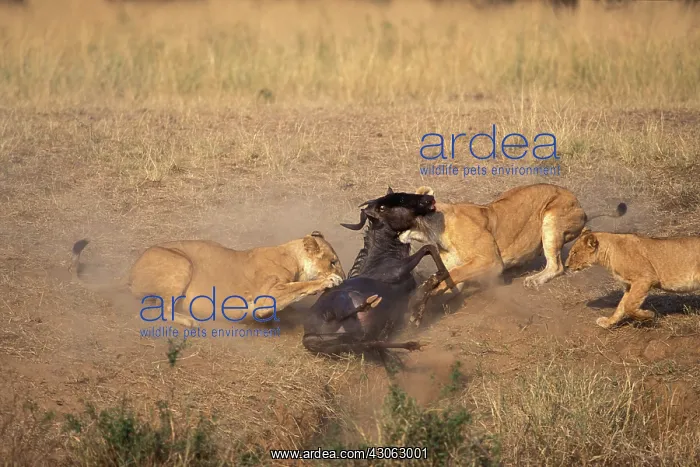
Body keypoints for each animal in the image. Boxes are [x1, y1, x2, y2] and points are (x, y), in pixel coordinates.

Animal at [70, 231, 346, 327]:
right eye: (333, 261)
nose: (345, 275)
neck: (292, 257)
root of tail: (130, 271)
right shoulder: (269, 291)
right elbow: (300, 286)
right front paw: (329, 281)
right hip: (181, 263)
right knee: (163, 311)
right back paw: (189, 321)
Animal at [398, 183, 627, 326]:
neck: (433, 230)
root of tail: (581, 206)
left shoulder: (491, 261)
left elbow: (451, 275)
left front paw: (417, 304)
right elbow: (445, 283)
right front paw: (419, 308)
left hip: (551, 219)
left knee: (557, 266)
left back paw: (534, 280)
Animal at [565, 227, 700, 328]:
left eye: (574, 253)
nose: (566, 265)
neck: (609, 253)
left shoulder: (645, 278)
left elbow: (629, 306)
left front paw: (648, 315)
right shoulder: (629, 285)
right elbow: (621, 306)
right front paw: (608, 322)